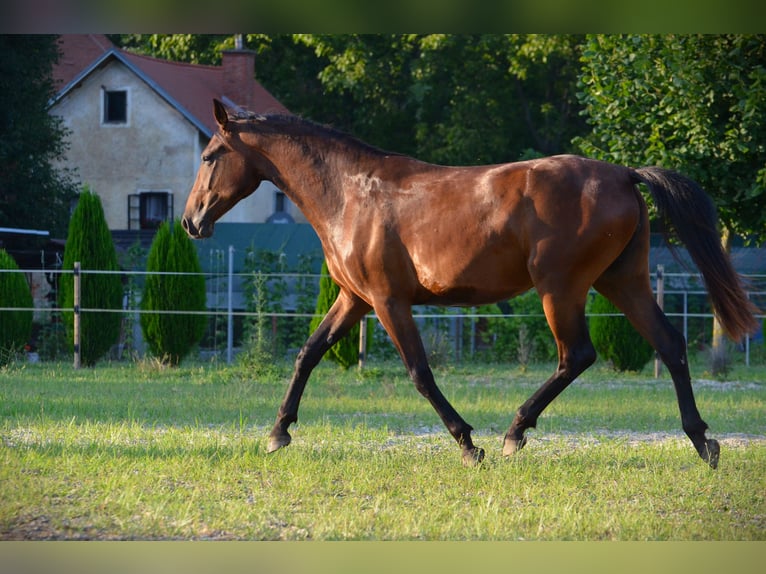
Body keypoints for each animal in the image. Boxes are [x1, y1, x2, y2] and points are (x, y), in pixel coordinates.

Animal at [183, 100, 760, 468]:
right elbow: (308, 353)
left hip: (561, 288)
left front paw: (468, 444)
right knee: (669, 342)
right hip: (623, 282)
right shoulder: (354, 300)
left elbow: (419, 373)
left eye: (209, 156)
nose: (191, 222)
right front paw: (278, 432)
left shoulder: (389, 302)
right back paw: (703, 442)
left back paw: (514, 433)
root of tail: (623, 174)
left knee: (576, 355)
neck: (349, 193)